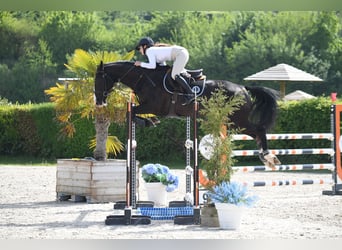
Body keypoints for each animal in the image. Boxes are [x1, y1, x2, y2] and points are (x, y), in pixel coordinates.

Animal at [94, 60, 280, 168]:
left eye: (99, 80)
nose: (99, 102)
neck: (144, 78)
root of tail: (242, 88)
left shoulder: (154, 106)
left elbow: (131, 114)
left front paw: (147, 122)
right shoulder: (148, 107)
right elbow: (133, 114)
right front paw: (149, 122)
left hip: (238, 121)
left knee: (259, 130)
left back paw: (268, 157)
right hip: (232, 121)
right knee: (256, 132)